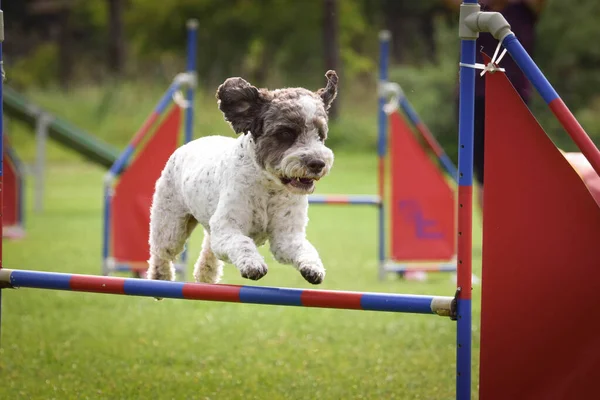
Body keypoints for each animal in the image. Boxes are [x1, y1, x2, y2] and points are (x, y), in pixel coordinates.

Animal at [146, 70, 338, 282]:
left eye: (320, 135)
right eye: (286, 133)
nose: (317, 163)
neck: (268, 187)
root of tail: (188, 145)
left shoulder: (286, 236)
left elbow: (304, 249)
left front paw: (313, 268)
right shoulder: (228, 227)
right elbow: (242, 243)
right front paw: (253, 264)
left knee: (208, 248)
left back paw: (205, 275)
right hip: (170, 224)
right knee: (161, 252)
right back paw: (160, 277)